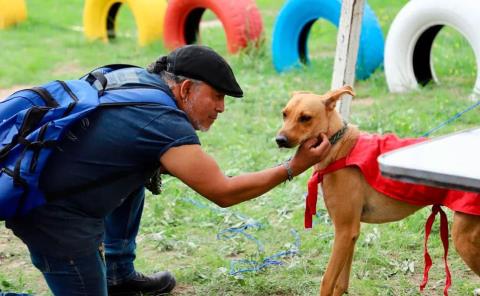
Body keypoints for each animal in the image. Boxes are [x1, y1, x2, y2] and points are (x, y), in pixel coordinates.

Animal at [276, 84, 478, 294]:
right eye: (284, 114)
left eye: (305, 117)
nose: (279, 139)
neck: (339, 147)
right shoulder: (350, 234)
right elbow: (340, 283)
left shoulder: (345, 230)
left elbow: (327, 281)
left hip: (464, 238)